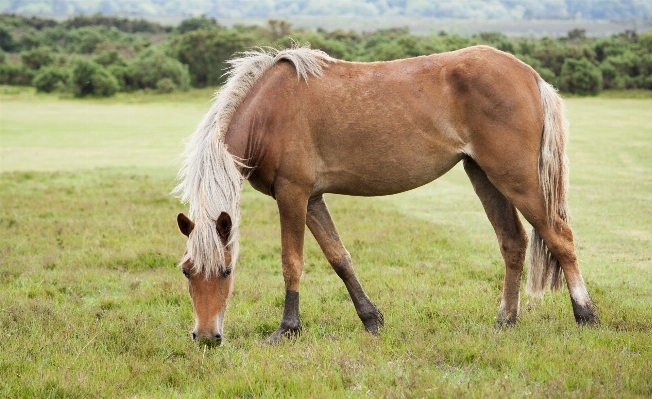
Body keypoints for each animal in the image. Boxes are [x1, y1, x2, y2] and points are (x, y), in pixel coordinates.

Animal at [172, 43, 596, 344]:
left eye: (227, 271)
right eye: (187, 271)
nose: (206, 337)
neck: (269, 111)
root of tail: (531, 76)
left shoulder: (292, 194)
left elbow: (292, 261)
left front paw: (287, 329)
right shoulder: (312, 199)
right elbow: (340, 258)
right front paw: (371, 319)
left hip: (517, 180)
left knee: (560, 237)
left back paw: (586, 315)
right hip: (485, 177)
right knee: (513, 242)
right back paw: (506, 320)